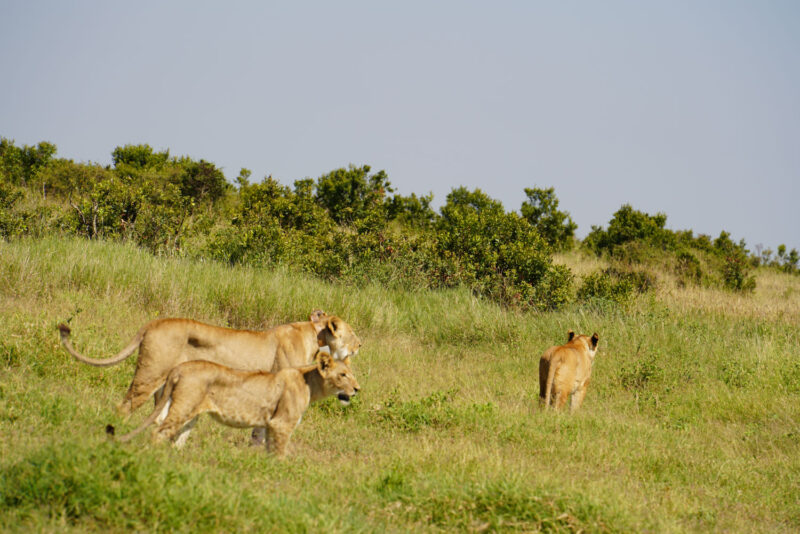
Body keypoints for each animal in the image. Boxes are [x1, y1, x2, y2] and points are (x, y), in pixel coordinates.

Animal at [54, 310, 358, 422]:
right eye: (353, 333)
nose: (360, 345)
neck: (314, 335)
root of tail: (153, 322)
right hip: (150, 374)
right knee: (125, 405)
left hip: (167, 383)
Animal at [108, 352, 360, 460]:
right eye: (343, 375)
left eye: (352, 374)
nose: (357, 389)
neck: (311, 383)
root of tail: (180, 368)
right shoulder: (281, 424)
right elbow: (279, 454)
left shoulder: (270, 426)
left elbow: (268, 451)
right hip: (183, 407)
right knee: (159, 432)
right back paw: (155, 458)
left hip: (189, 413)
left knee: (175, 437)